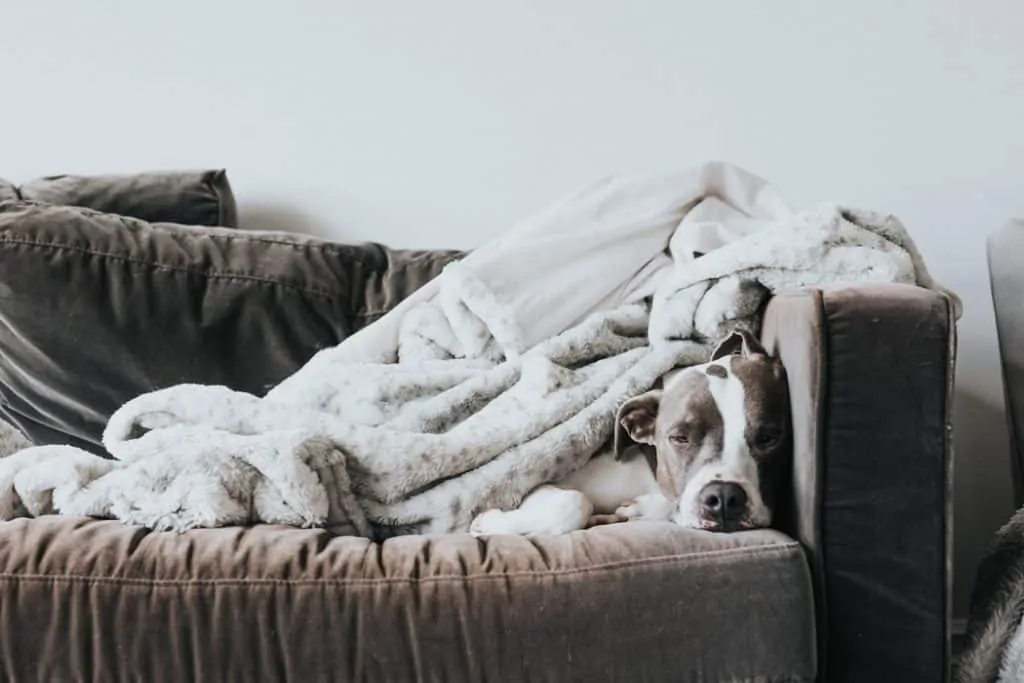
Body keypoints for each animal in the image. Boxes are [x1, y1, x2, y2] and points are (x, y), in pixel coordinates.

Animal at [471, 327, 790, 536]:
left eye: (769, 438)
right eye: (679, 438)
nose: (723, 498)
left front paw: (638, 509)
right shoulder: (537, 485)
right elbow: (574, 502)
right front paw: (487, 521)